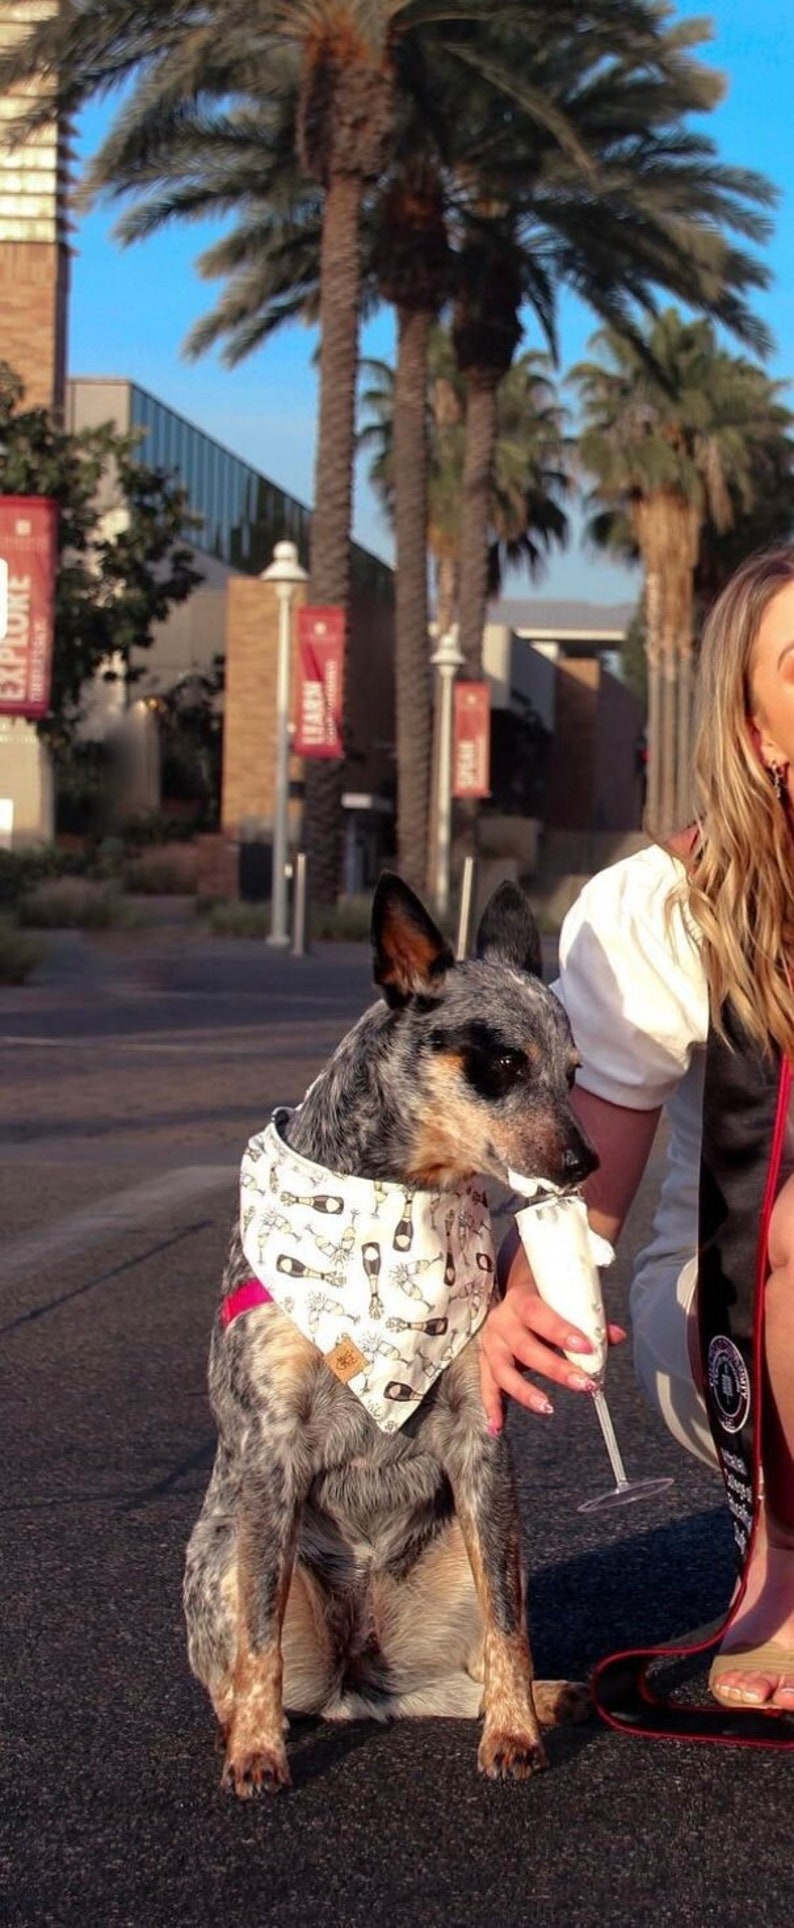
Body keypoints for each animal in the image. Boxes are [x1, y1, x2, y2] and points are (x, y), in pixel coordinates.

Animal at [185, 871, 593, 1789]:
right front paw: (257, 1753)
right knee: (246, 1666)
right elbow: (258, 1642)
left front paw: (514, 1733)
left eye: (573, 1072)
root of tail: (361, 1683)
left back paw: (543, 1698)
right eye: (504, 1063)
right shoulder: (271, 1446)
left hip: (477, 1551)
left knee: (479, 1657)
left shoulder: (481, 1445)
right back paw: (245, 1728)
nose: (585, 1162)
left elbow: (510, 1627)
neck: (400, 1205)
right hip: (223, 1548)